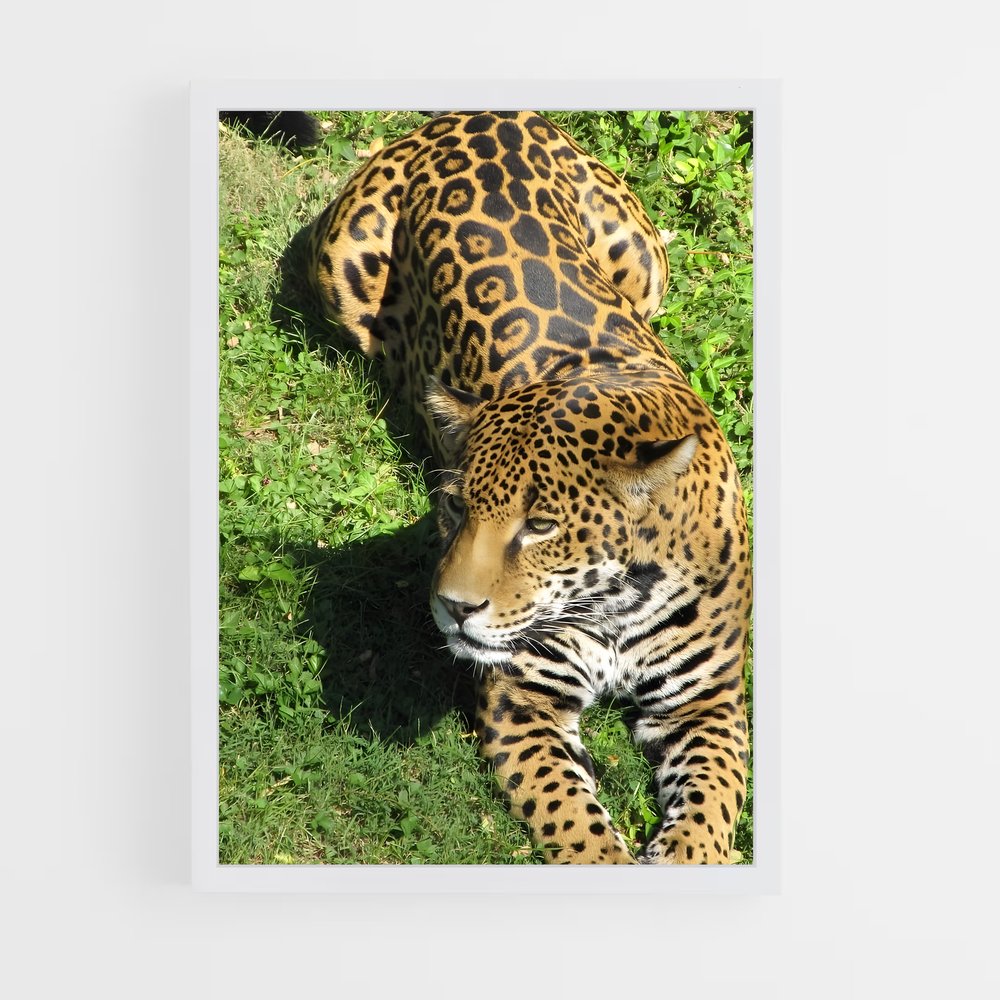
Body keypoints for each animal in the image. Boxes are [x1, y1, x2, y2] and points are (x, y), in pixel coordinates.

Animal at [305, 111, 751, 864]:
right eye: (455, 506)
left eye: (541, 527)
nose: (453, 608)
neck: (617, 605)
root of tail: (475, 114)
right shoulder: (524, 698)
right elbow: (573, 819)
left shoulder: (708, 700)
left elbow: (712, 802)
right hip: (343, 263)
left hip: (646, 263)